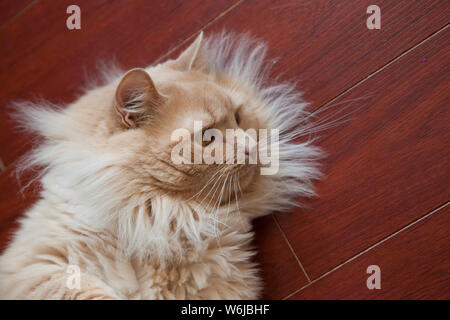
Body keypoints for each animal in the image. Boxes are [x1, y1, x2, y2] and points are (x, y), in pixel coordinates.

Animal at [0, 31, 324, 298]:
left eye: (238, 117)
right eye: (207, 137)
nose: (250, 147)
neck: (162, 216)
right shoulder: (39, 267)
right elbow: (91, 293)